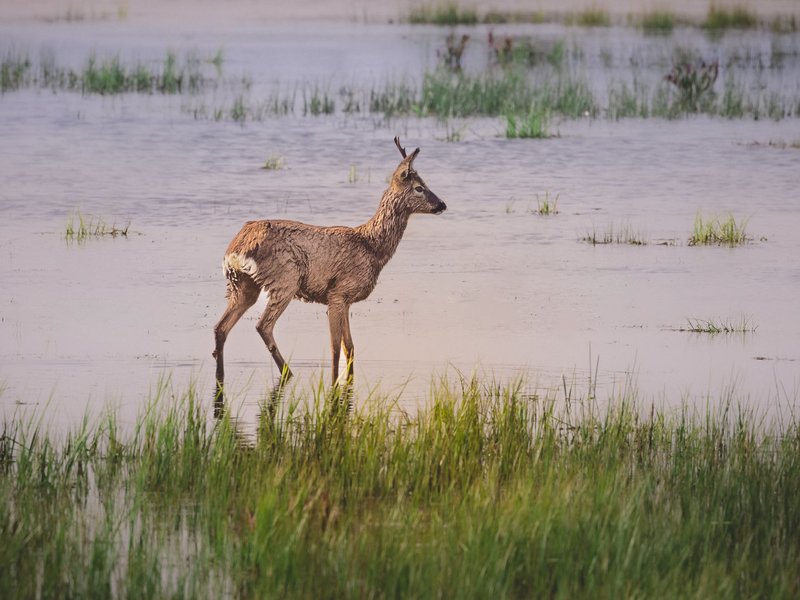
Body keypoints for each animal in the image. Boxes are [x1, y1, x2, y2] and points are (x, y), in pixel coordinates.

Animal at [212, 137, 446, 392]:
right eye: (419, 187)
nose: (442, 204)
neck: (371, 246)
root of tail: (237, 248)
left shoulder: (347, 300)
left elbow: (350, 347)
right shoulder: (337, 293)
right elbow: (335, 348)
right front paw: (334, 385)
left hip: (241, 284)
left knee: (220, 327)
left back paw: (221, 377)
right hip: (285, 280)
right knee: (263, 326)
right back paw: (288, 373)